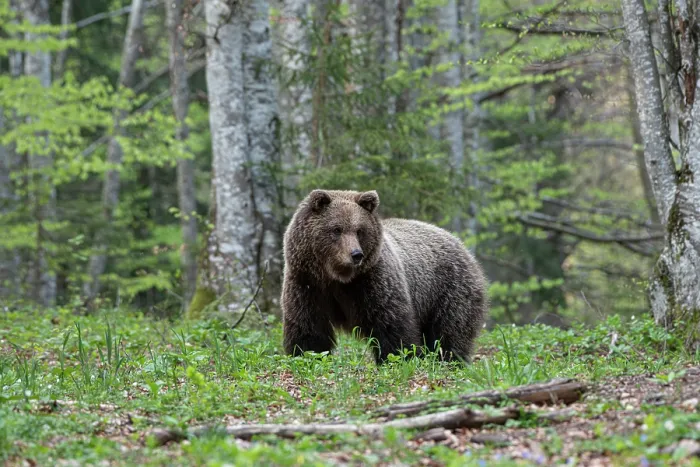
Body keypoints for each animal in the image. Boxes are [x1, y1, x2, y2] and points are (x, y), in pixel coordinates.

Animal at [281, 189, 488, 364]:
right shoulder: (307, 283)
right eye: (336, 229)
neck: (338, 277)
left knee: (449, 331)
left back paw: (450, 360)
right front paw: (307, 356)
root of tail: (461, 244)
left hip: (448, 289)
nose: (356, 254)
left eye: (359, 230)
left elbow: (390, 324)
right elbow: (308, 327)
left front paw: (399, 359)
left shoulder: (373, 281)